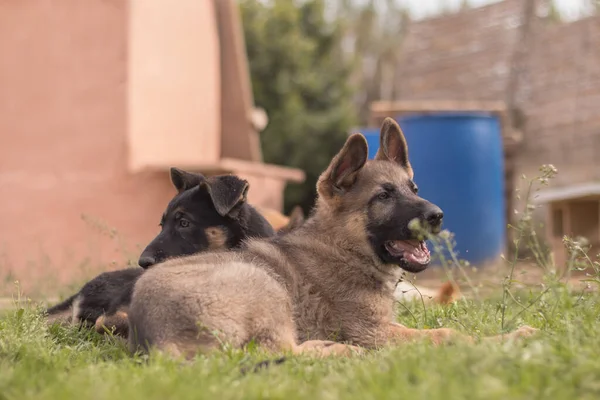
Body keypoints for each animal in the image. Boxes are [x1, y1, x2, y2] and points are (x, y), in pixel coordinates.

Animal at [129, 119, 536, 360]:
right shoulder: (375, 333)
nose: (438, 216)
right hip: (264, 285)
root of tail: (155, 335)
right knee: (275, 351)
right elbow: (449, 334)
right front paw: (508, 339)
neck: (343, 247)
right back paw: (339, 350)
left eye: (414, 189)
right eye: (383, 196)